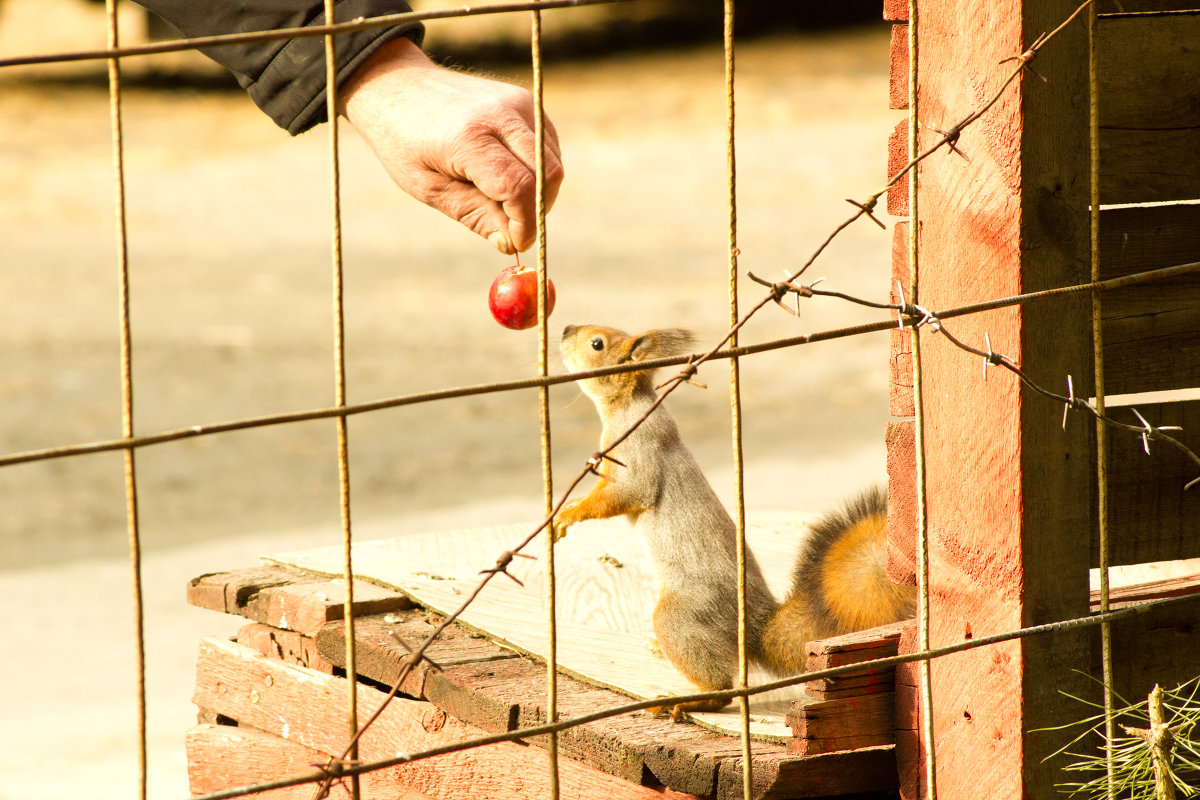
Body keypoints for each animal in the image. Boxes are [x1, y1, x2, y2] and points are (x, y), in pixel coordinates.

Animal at [554, 323, 916, 719]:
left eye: (597, 343)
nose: (565, 330)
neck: (628, 407)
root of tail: (752, 630)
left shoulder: (635, 458)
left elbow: (622, 494)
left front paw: (568, 513)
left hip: (682, 615)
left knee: (722, 690)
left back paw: (686, 700)